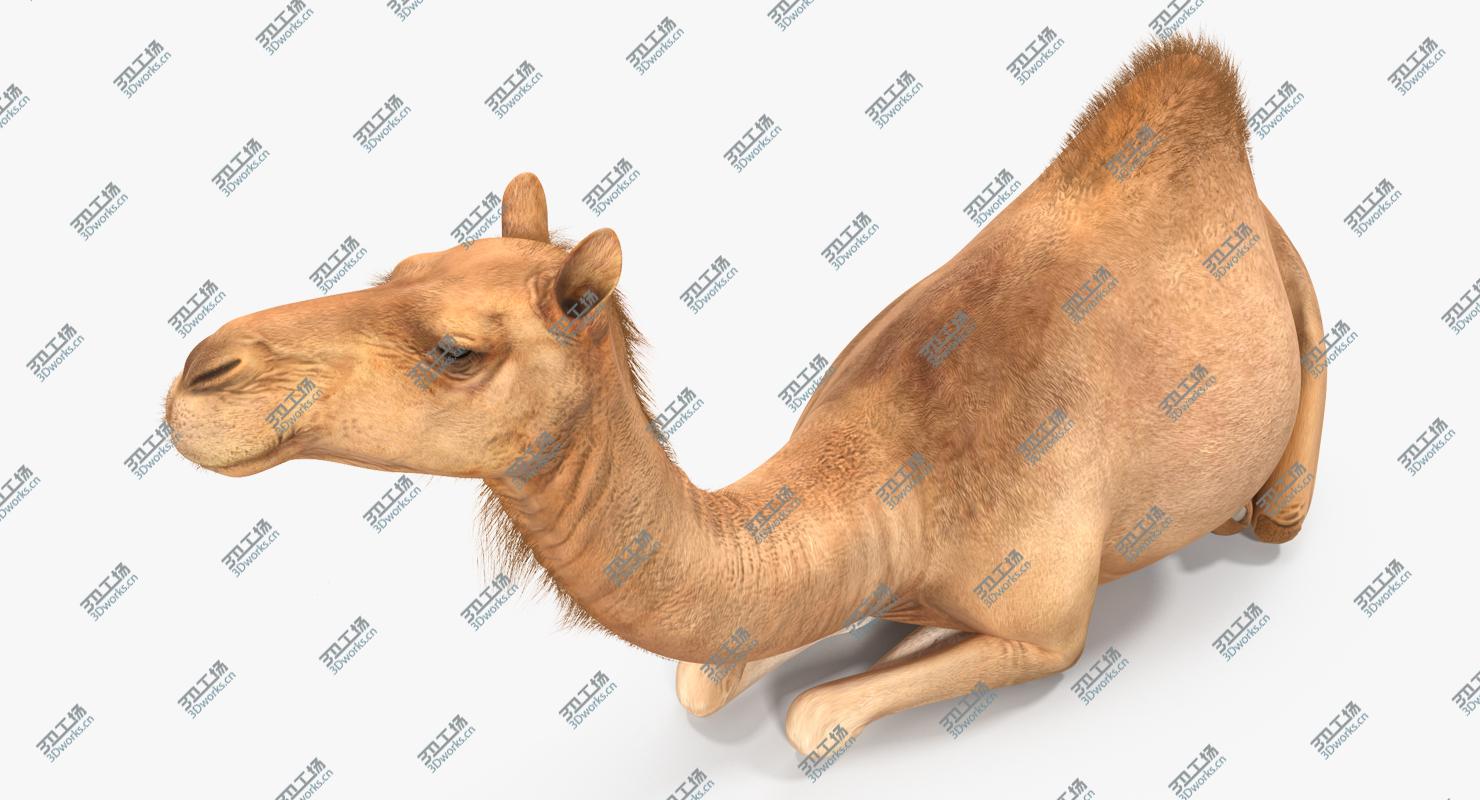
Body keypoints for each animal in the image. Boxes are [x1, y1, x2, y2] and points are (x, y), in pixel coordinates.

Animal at [164, 34, 1326, 755]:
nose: (201, 373)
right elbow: (707, 673)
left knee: (1281, 498)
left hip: (1296, 316)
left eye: (457, 349)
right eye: (401, 263)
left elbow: (815, 715)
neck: (890, 491)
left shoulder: (1047, 627)